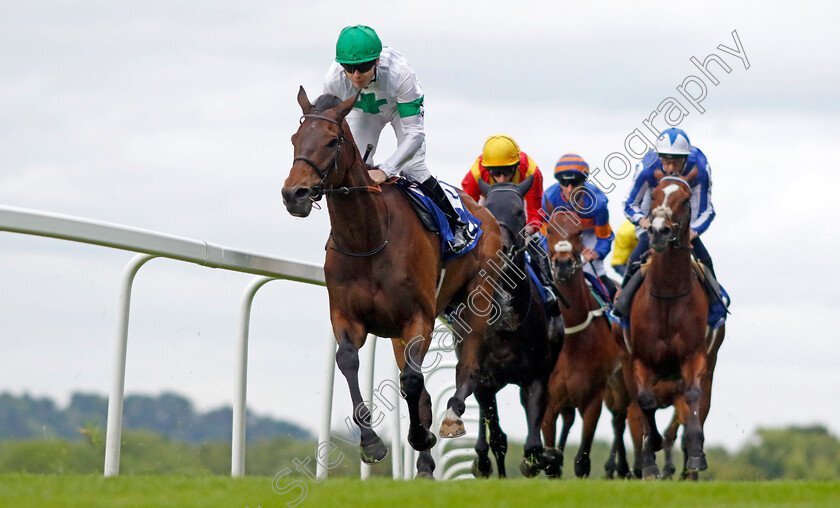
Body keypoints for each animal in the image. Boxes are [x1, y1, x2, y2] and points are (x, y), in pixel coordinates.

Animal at [282, 88, 506, 480]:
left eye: (331, 141)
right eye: (295, 139)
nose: (294, 194)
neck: (368, 238)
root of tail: (483, 213)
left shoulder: (419, 318)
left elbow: (413, 381)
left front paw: (420, 436)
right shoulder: (347, 316)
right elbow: (350, 362)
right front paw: (371, 443)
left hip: (476, 297)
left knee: (468, 363)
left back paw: (450, 417)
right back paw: (426, 463)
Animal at [466, 178, 564, 476]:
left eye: (519, 212)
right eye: (487, 209)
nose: (501, 249)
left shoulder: (537, 375)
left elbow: (533, 445)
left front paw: (538, 460)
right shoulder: (485, 380)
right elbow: (498, 438)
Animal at [540, 208, 628, 478]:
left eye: (579, 231)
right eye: (550, 229)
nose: (563, 264)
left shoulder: (593, 398)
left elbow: (582, 461)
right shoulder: (551, 399)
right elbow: (551, 458)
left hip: (621, 381)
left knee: (621, 418)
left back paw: (621, 468)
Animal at [620, 176, 720, 480]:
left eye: (686, 200)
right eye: (653, 195)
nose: (658, 232)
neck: (668, 294)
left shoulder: (695, 356)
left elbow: (692, 400)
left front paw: (696, 455)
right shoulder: (640, 360)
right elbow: (645, 402)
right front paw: (650, 456)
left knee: (698, 406)